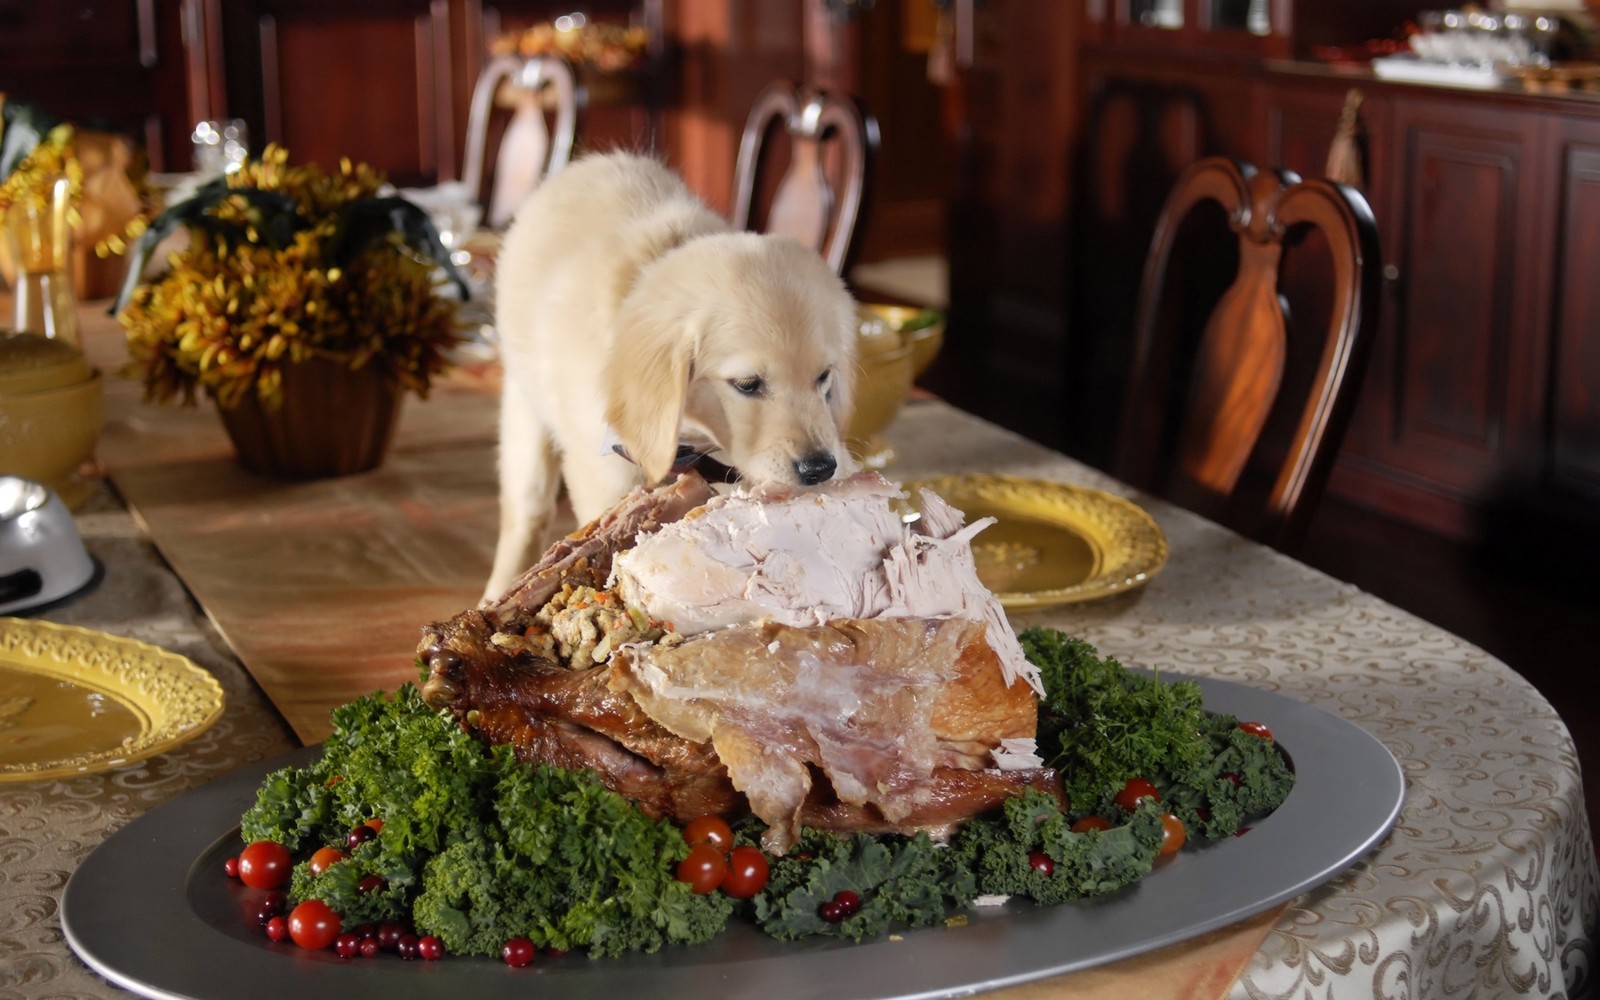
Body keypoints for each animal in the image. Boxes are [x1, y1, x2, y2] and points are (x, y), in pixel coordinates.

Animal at [483, 152, 864, 595]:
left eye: (824, 377)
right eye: (747, 384)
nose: (820, 469)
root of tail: (592, 161)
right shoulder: (604, 476)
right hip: (524, 409)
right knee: (526, 514)